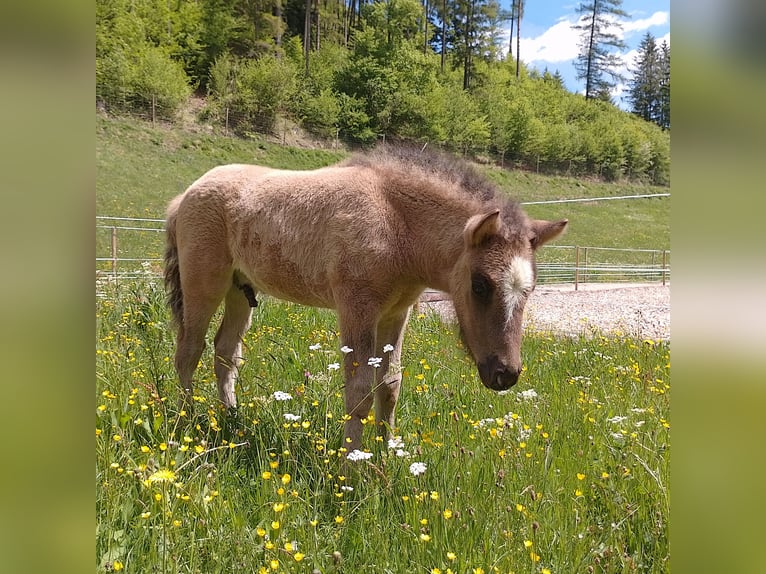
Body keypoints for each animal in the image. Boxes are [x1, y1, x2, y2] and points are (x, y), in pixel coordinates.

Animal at [163, 145, 567, 452]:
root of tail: (184, 196)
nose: (506, 374)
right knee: (189, 350)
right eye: (480, 284)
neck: (396, 224)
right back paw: (188, 423)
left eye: (530, 289)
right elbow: (358, 391)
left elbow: (389, 386)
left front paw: (384, 462)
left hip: (240, 290)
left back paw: (233, 419)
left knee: (225, 352)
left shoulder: (395, 313)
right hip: (204, 284)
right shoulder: (356, 310)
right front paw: (351, 471)